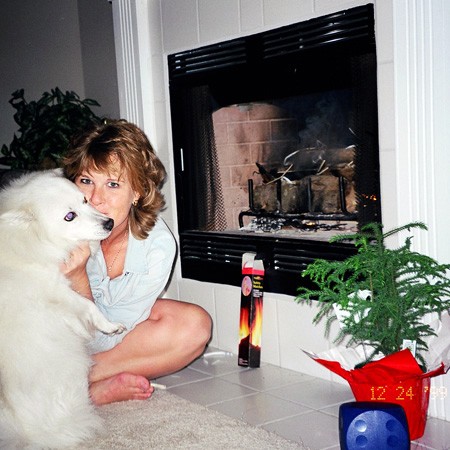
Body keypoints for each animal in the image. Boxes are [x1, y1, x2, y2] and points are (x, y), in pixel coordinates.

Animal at [0, 171, 125, 448]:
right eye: (70, 216)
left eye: (85, 200)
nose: (109, 223)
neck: (29, 239)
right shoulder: (54, 287)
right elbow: (88, 307)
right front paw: (109, 326)